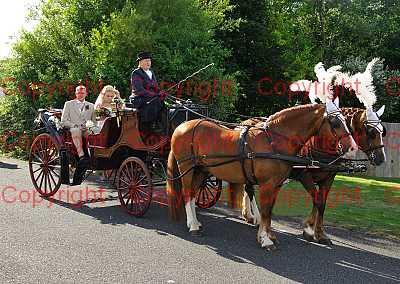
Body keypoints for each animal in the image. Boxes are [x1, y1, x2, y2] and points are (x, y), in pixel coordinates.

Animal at [166, 98, 356, 250]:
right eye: (335, 122)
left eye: (345, 120)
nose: (353, 148)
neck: (274, 141)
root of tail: (182, 126)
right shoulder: (269, 184)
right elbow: (265, 211)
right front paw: (265, 239)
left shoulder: (277, 184)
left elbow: (270, 210)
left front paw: (269, 235)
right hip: (186, 167)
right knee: (187, 192)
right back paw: (193, 226)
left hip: (202, 170)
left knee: (192, 193)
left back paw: (196, 222)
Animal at [242, 106, 386, 244]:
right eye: (371, 131)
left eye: (382, 131)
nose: (381, 158)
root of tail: (246, 121)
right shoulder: (305, 176)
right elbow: (317, 200)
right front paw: (310, 230)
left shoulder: (328, 179)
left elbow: (321, 203)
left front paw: (320, 234)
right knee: (249, 190)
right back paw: (257, 217)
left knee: (247, 188)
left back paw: (249, 215)